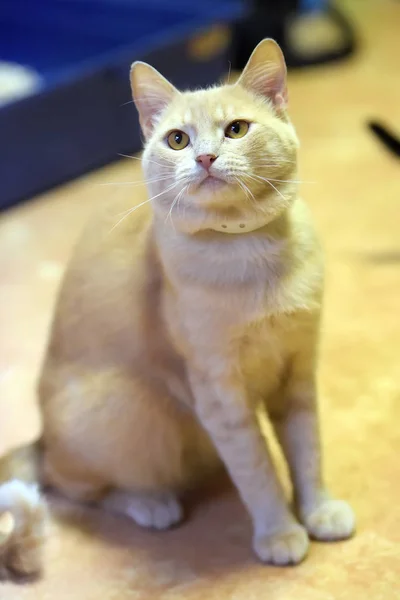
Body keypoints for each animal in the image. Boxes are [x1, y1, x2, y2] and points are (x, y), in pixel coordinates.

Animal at [0, 36, 356, 576]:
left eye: (236, 130)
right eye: (177, 140)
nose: (206, 158)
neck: (252, 257)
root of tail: (42, 439)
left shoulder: (297, 373)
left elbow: (307, 451)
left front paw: (318, 511)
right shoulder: (221, 396)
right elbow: (258, 470)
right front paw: (279, 531)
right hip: (131, 414)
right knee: (70, 487)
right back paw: (149, 503)